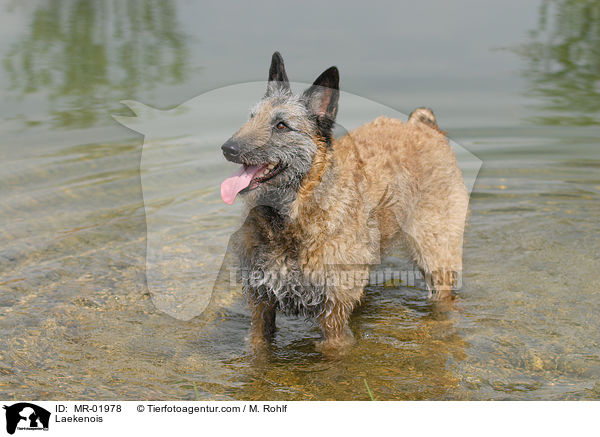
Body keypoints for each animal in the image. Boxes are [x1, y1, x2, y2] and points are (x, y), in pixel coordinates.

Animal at [220, 52, 468, 352]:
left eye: (281, 126)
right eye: (252, 117)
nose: (228, 148)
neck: (293, 217)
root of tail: (423, 127)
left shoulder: (333, 322)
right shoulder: (261, 309)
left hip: (436, 256)